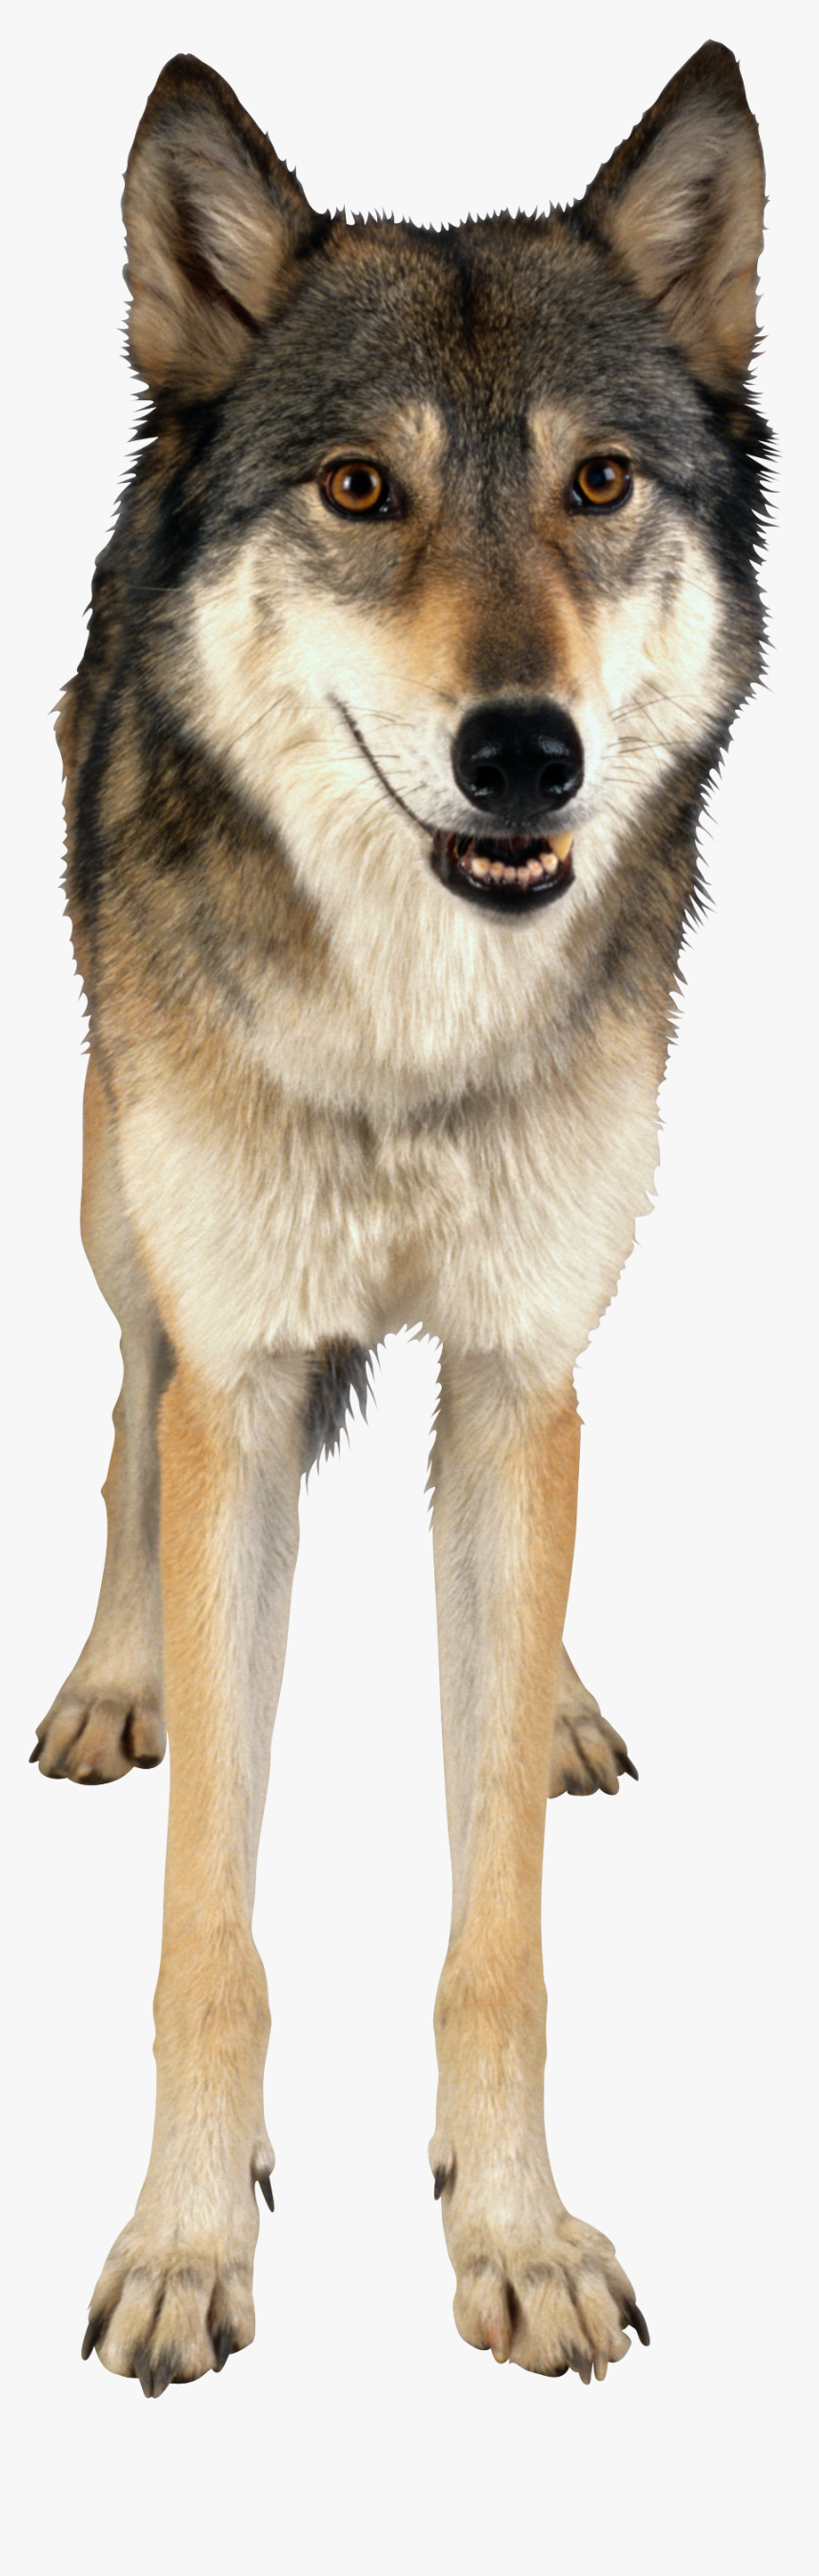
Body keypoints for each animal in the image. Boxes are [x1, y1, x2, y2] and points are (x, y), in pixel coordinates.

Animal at [33, 41, 767, 2392]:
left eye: (600, 482)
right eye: (362, 490)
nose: (524, 751)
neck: (411, 1034)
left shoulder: (526, 1353)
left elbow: (499, 1923)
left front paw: (513, 2234)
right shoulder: (249, 1372)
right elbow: (208, 1921)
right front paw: (185, 2245)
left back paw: (552, 1694)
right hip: (117, 1200)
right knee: (123, 1417)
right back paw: (118, 1672)